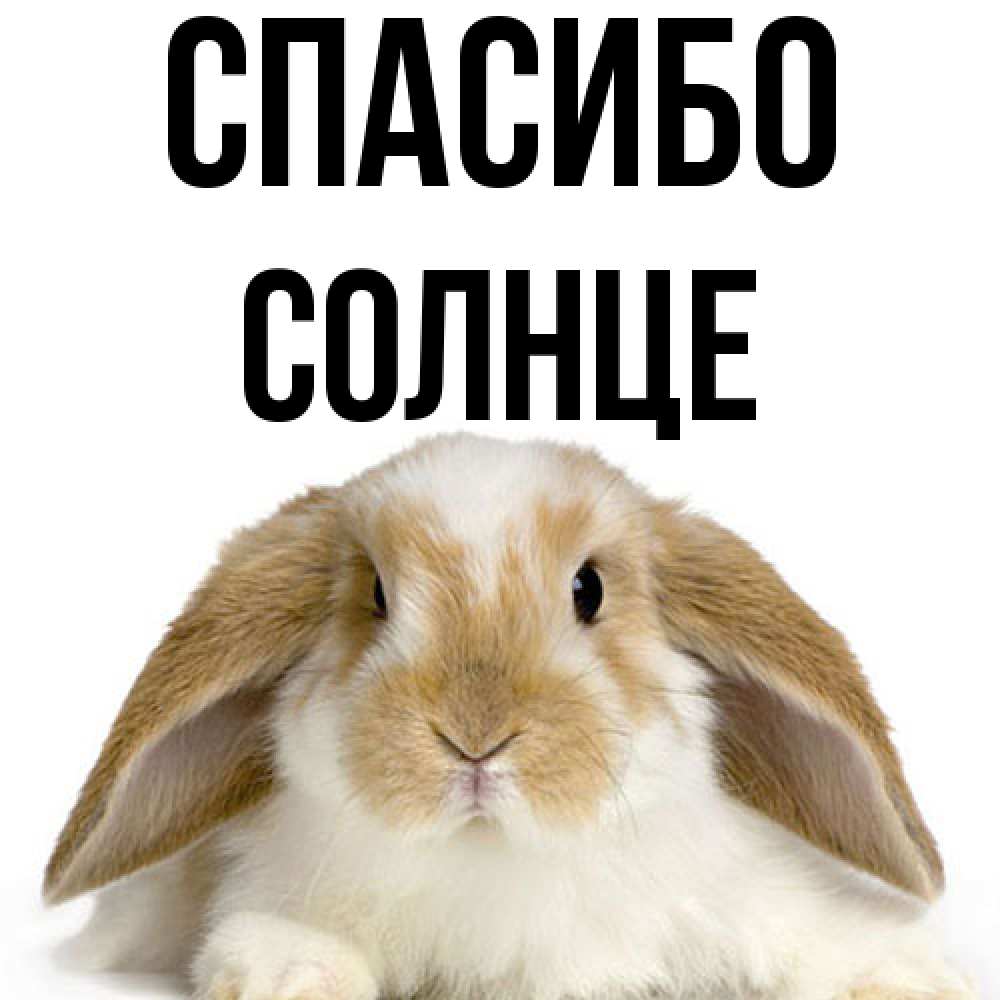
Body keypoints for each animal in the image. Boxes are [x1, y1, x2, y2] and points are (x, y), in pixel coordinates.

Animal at [45, 434, 975, 1000]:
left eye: (589, 589)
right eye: (376, 595)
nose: (475, 737)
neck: (495, 857)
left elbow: (816, 938)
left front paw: (910, 977)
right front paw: (292, 976)